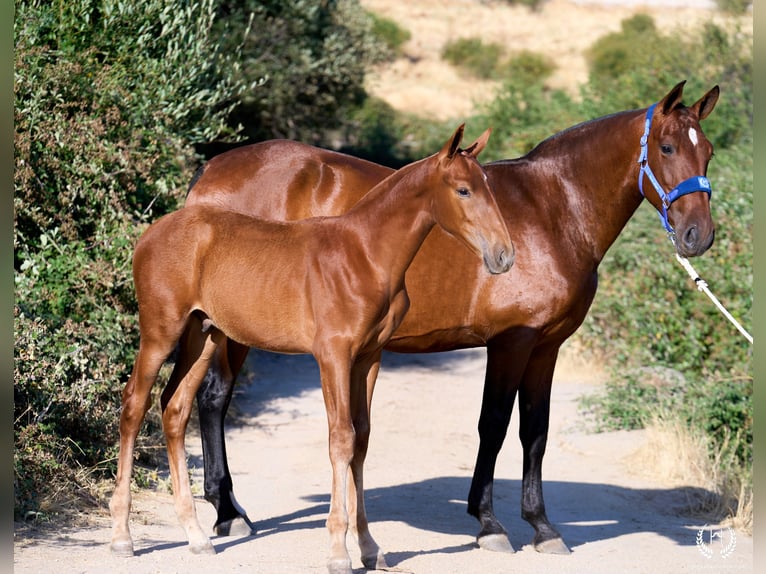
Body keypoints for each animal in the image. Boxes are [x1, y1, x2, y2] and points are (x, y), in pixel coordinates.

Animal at [108, 124, 513, 574]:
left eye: (489, 188)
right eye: (463, 190)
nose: (504, 255)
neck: (364, 254)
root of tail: (151, 233)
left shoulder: (369, 358)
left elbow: (362, 440)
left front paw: (369, 547)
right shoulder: (333, 356)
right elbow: (341, 438)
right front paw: (338, 551)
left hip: (204, 335)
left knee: (175, 409)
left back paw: (196, 536)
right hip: (161, 332)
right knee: (134, 405)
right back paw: (123, 536)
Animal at [184, 81, 719, 556]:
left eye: (708, 152)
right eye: (667, 147)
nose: (698, 235)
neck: (553, 210)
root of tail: (211, 172)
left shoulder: (547, 346)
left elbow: (535, 432)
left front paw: (543, 528)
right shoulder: (512, 341)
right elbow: (494, 425)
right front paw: (489, 524)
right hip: (231, 331)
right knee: (212, 401)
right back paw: (227, 514)